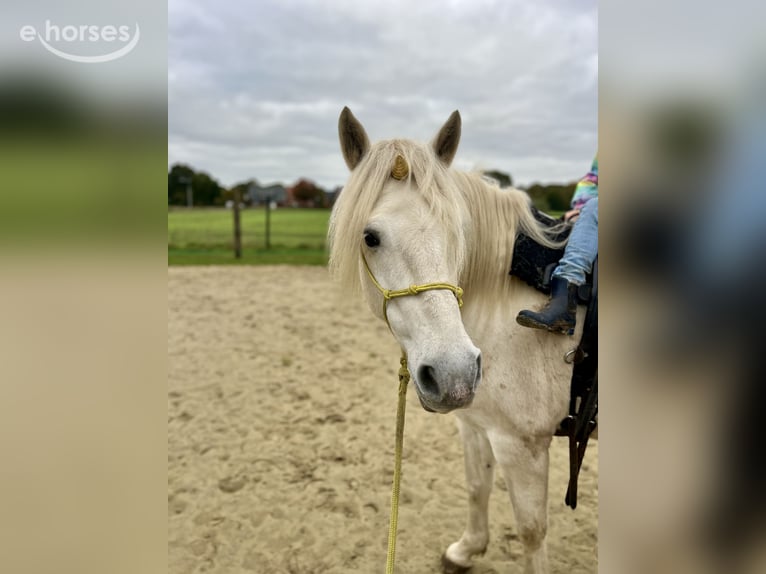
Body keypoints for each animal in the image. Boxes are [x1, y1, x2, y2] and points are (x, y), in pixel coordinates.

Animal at [328, 107, 587, 574]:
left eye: (458, 230)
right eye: (369, 237)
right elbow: (476, 486)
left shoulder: (521, 446)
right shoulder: (477, 425)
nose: (454, 372)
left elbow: (531, 532)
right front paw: (467, 550)